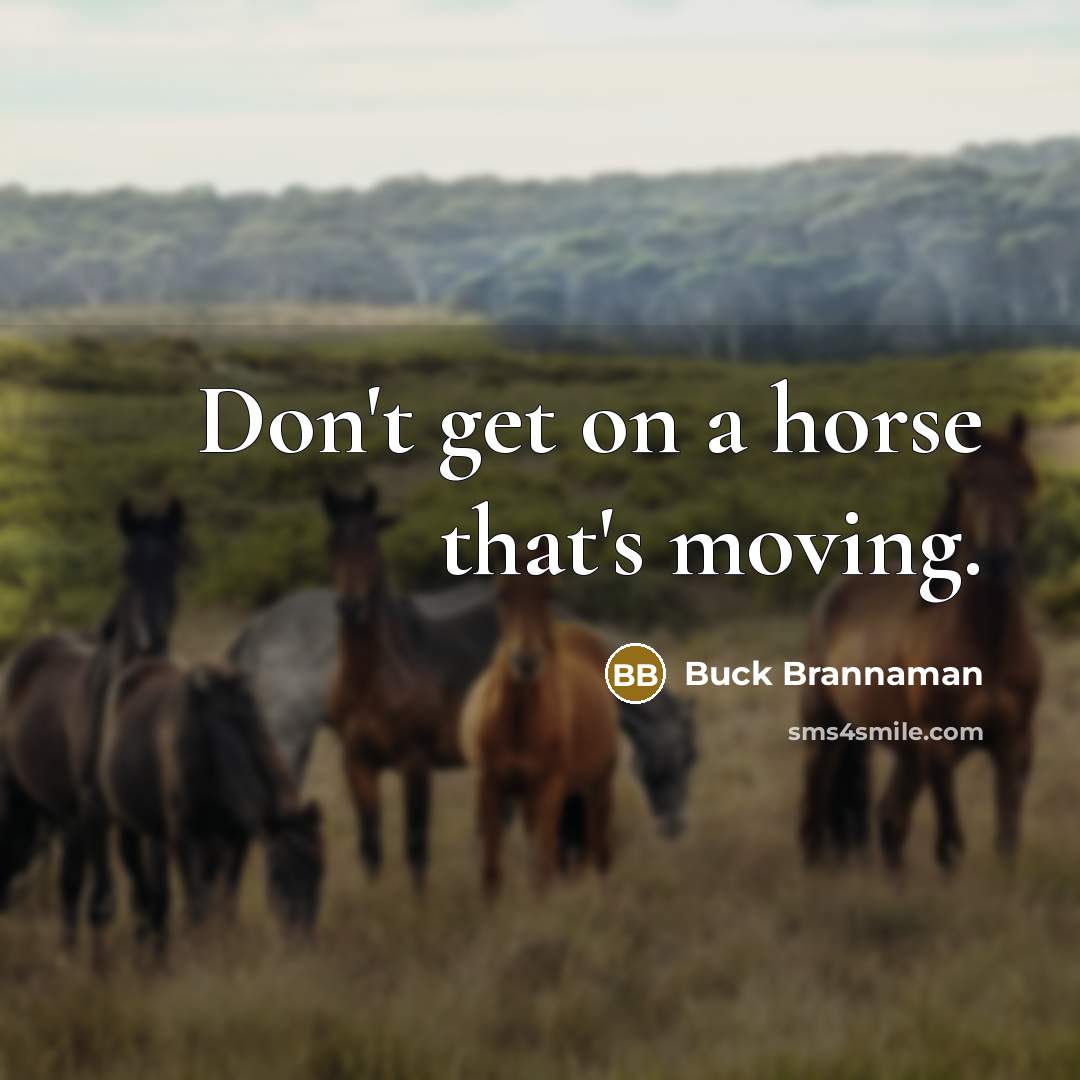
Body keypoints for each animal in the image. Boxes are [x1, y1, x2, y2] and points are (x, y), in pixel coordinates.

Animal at [0, 497, 184, 957]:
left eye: (175, 562)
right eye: (126, 565)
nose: (151, 641)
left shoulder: (145, 816)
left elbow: (154, 897)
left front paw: (155, 962)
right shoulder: (96, 812)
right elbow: (104, 901)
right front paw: (101, 970)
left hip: (68, 817)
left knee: (71, 882)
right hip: (37, 803)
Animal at [99, 658, 324, 955]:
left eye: (320, 871)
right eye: (279, 874)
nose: (303, 938)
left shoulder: (237, 836)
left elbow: (226, 897)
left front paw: (222, 937)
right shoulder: (182, 836)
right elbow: (196, 902)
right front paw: (197, 945)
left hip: (171, 836)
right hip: (129, 827)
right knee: (145, 888)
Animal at [460, 576, 618, 897]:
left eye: (549, 593)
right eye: (502, 594)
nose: (527, 662)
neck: (517, 723)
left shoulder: (549, 785)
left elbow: (543, 865)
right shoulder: (490, 783)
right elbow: (491, 868)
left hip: (599, 783)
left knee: (599, 847)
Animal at [798, 413, 1041, 871]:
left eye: (1024, 478)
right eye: (965, 482)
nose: (996, 561)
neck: (988, 642)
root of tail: (831, 595)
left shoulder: (1013, 745)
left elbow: (1008, 841)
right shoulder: (939, 747)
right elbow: (950, 845)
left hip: (906, 753)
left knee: (890, 819)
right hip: (825, 731)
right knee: (813, 820)